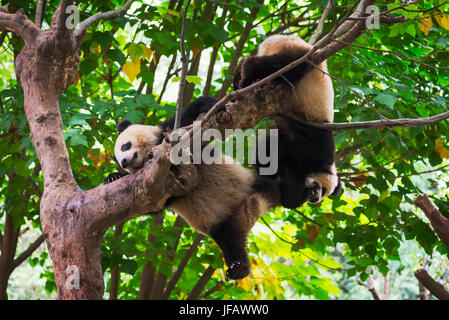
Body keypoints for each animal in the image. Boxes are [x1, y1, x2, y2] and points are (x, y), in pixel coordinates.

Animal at [105, 96, 280, 278]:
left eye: (125, 146)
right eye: (122, 164)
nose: (125, 162)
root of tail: (248, 213)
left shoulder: (171, 134)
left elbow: (188, 119)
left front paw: (215, 106)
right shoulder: (157, 188)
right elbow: (156, 206)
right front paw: (113, 177)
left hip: (249, 184)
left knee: (273, 189)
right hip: (221, 226)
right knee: (231, 242)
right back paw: (239, 267)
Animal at [233, 35, 342, 210]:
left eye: (324, 194)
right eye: (321, 188)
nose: (315, 198)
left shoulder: (287, 131)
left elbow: (272, 147)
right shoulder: (315, 145)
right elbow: (288, 155)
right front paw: (293, 192)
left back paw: (239, 77)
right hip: (300, 56)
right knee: (280, 65)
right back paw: (246, 74)